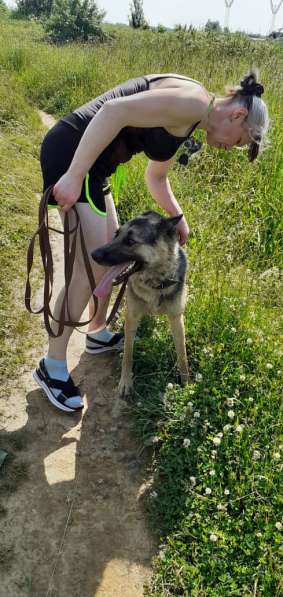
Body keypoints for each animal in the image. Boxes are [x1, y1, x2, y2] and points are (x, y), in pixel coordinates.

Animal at [93, 211, 190, 396]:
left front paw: (187, 384)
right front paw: (125, 382)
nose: (93, 254)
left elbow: (182, 355)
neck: (155, 284)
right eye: (116, 235)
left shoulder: (176, 319)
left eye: (131, 241)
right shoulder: (132, 317)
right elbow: (127, 354)